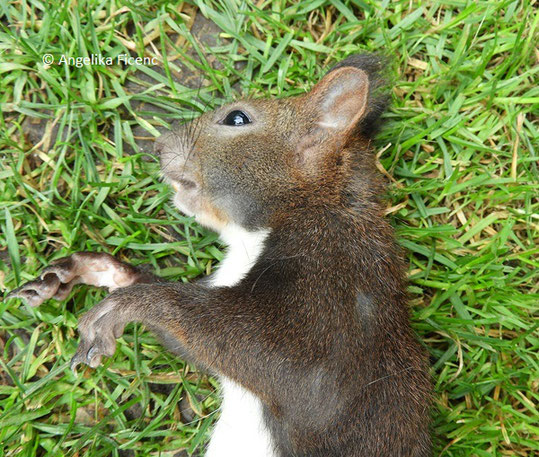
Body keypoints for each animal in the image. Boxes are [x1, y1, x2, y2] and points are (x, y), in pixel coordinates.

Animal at [6, 55, 432, 454]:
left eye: (237, 118)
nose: (157, 146)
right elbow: (189, 342)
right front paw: (86, 270)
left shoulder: (335, 289)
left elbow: (287, 370)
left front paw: (123, 306)